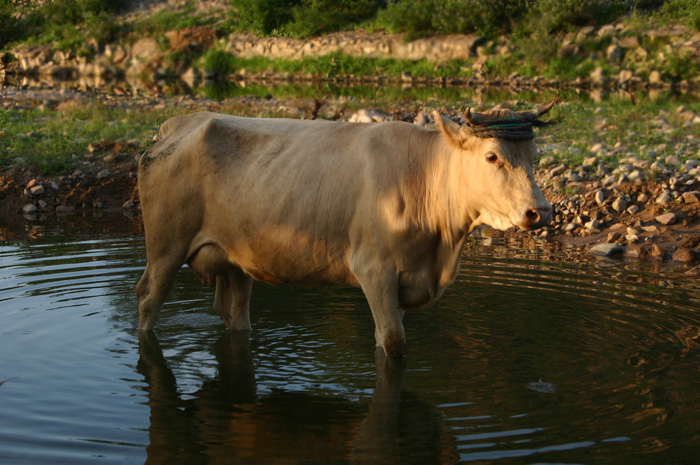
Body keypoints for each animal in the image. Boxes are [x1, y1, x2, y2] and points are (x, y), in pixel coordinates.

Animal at [135, 102, 552, 356]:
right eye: (492, 156)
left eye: (535, 156)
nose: (542, 212)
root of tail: (179, 123)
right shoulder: (375, 269)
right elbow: (393, 342)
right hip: (165, 246)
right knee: (147, 300)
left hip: (235, 258)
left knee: (234, 312)